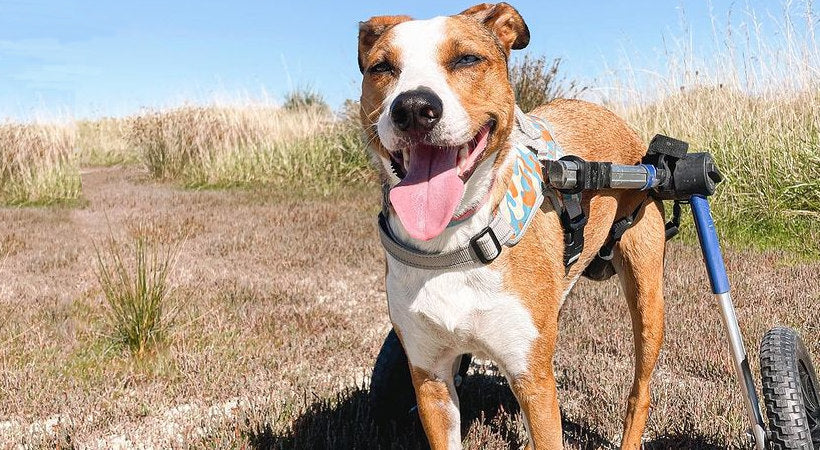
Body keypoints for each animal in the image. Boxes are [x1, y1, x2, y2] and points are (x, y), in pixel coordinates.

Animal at [358, 2, 668, 446]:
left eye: (467, 59)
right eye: (381, 67)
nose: (414, 108)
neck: (455, 242)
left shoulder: (533, 379)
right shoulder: (430, 380)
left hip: (647, 299)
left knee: (640, 390)